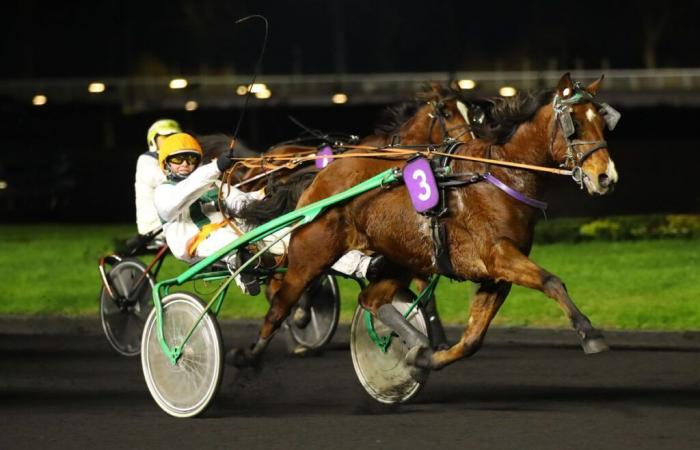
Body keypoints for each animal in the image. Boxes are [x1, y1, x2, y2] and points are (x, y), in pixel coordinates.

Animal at [234, 72, 616, 370]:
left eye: (602, 120)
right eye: (574, 125)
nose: (606, 177)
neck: (499, 175)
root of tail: (321, 176)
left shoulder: (494, 275)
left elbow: (472, 338)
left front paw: (428, 356)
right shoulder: (497, 255)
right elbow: (552, 281)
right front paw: (590, 333)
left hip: (396, 259)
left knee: (370, 299)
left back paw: (415, 343)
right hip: (310, 254)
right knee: (279, 302)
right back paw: (250, 355)